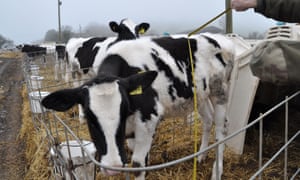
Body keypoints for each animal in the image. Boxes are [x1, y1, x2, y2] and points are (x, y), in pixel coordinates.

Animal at [41, 33, 234, 179]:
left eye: (124, 110)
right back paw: (201, 155)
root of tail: (220, 39)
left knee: (221, 130)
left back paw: (217, 171)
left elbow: (138, 165)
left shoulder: (148, 119)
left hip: (220, 91)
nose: (112, 166)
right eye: (89, 117)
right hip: (200, 96)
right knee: (207, 121)